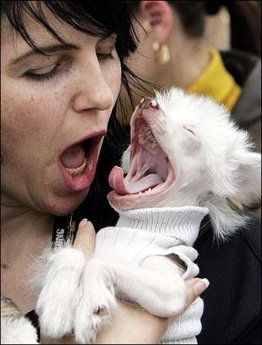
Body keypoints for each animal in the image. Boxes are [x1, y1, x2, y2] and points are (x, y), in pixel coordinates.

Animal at [1, 88, 260, 342]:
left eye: (190, 133)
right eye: (161, 103)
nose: (149, 103)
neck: (139, 225)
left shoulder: (175, 287)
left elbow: (98, 263)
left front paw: (90, 308)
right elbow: (71, 255)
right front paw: (57, 306)